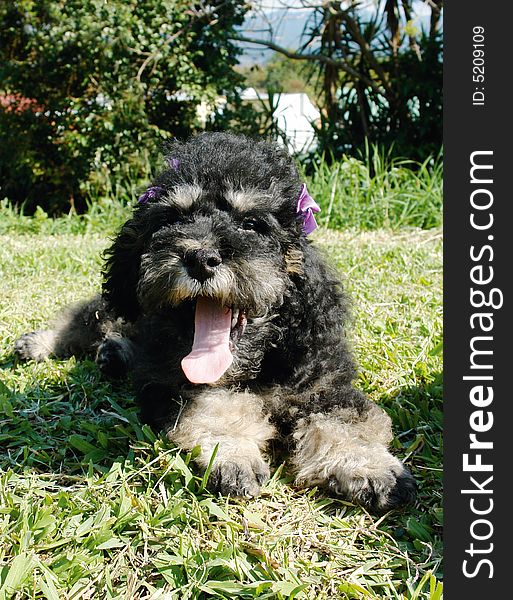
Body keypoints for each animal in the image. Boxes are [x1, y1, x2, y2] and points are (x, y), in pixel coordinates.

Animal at [15, 131, 416, 510]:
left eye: (252, 224)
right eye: (172, 219)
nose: (200, 258)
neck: (256, 363)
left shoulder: (324, 385)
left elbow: (346, 423)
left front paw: (369, 467)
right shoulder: (178, 382)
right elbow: (216, 404)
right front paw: (233, 454)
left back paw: (113, 353)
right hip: (112, 308)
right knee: (83, 320)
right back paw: (39, 343)